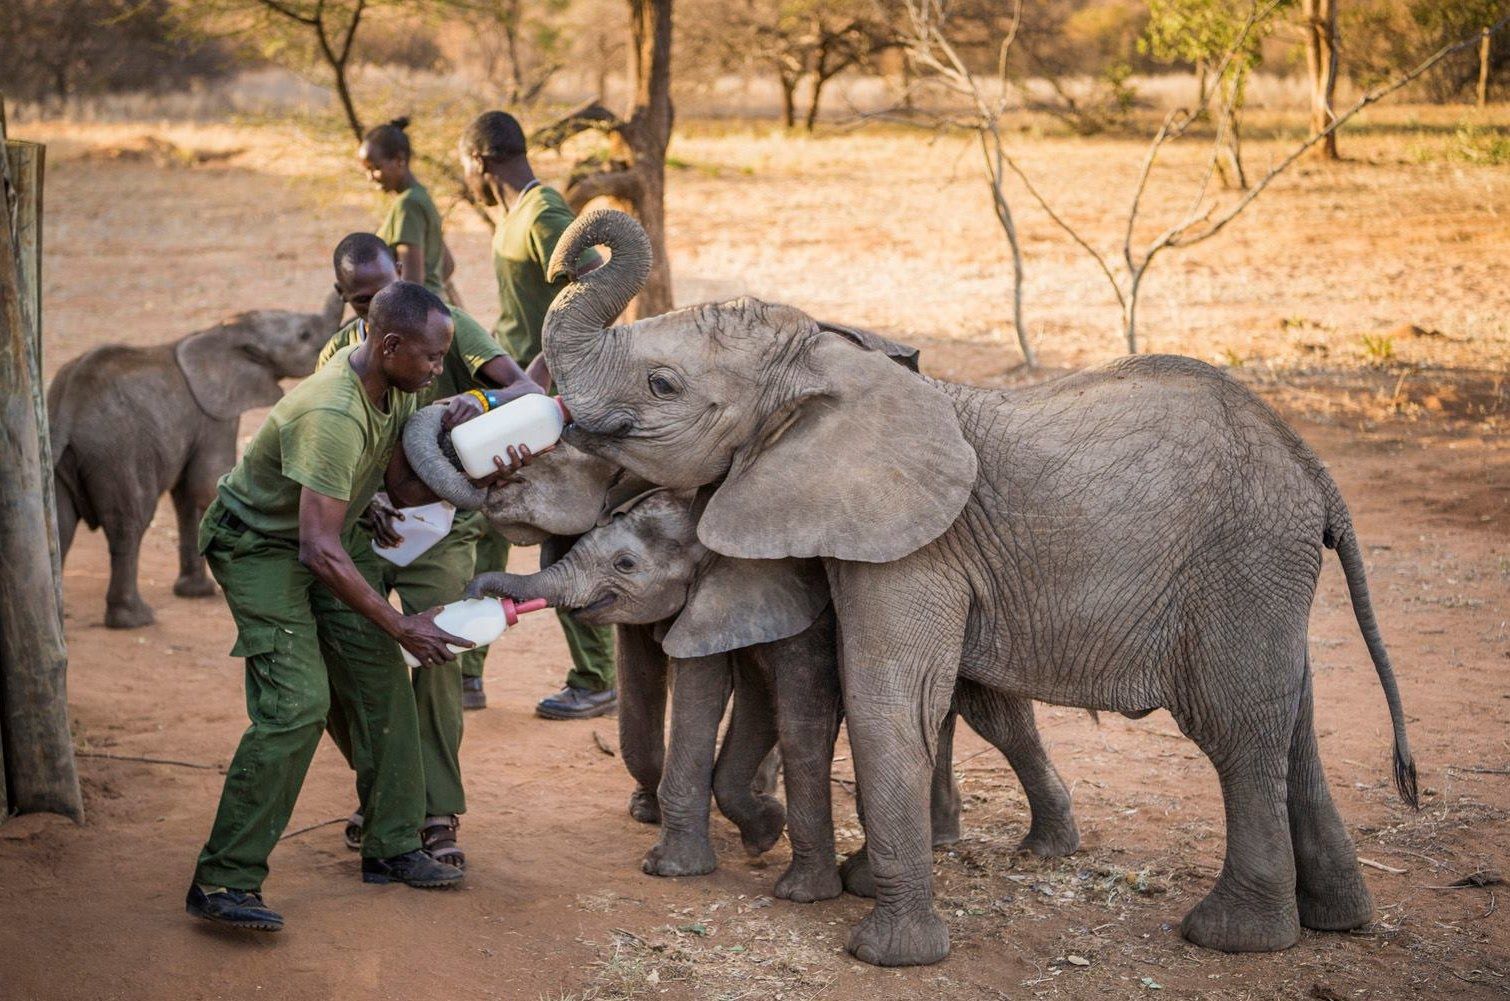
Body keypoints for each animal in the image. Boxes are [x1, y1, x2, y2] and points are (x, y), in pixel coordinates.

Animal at [50, 297, 342, 628]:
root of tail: (67, 406)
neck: (222, 330)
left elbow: (188, 497)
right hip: (116, 452)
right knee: (130, 522)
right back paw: (135, 620)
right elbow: (204, 485)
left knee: (59, 521)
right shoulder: (215, 416)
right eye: (304, 335)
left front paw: (195, 593)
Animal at [528, 211, 1413, 972]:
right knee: (1291, 717)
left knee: (1235, 724)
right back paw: (1338, 919)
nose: (565, 257)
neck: (831, 367)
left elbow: (888, 698)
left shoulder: (917, 543)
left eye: (663, 385)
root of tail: (1313, 470)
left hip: (1241, 561)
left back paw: (1229, 935)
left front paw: (884, 951)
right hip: (1264, 572)